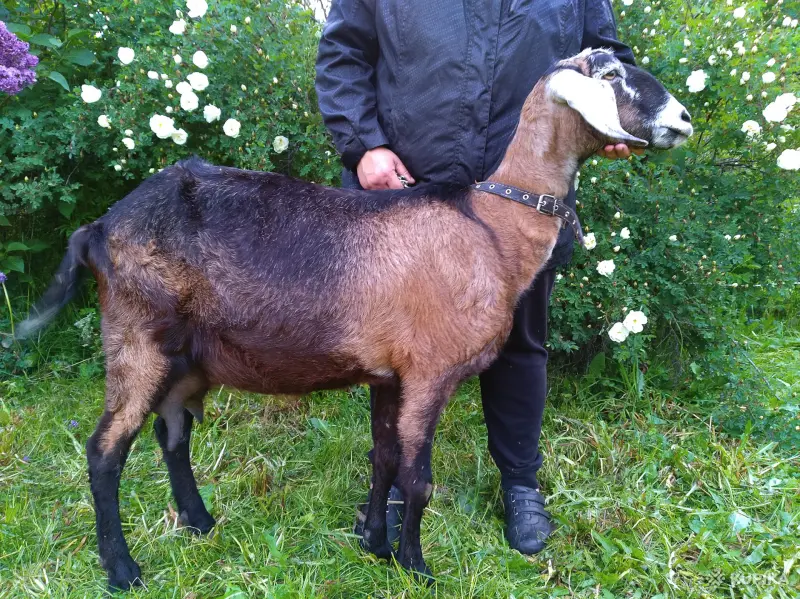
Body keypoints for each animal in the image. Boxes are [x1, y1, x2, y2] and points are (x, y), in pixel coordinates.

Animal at [19, 48, 692, 590]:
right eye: (612, 76)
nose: (684, 120)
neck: (490, 227)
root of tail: (99, 228)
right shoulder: (429, 372)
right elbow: (417, 479)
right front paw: (418, 567)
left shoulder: (391, 375)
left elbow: (384, 460)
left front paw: (375, 546)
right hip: (137, 338)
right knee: (105, 452)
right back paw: (123, 570)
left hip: (186, 356)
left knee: (173, 434)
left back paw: (200, 523)